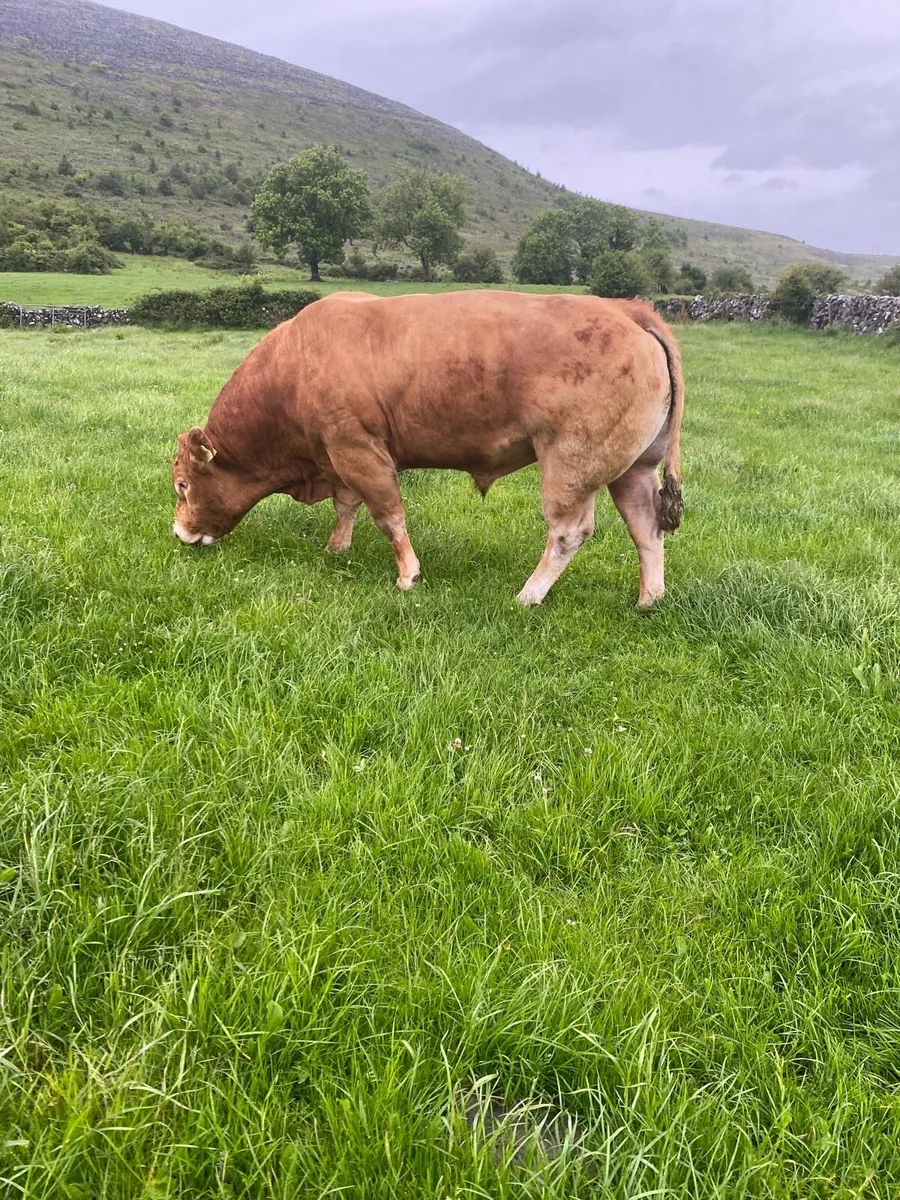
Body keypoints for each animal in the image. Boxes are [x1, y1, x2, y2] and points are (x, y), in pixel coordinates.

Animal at [172, 290, 684, 607]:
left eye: (181, 485)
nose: (179, 534)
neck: (292, 367)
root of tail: (626, 310)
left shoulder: (359, 449)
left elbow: (388, 515)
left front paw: (407, 575)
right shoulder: (339, 453)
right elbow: (346, 505)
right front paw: (337, 548)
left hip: (570, 464)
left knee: (568, 533)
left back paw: (529, 595)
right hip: (635, 468)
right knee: (646, 528)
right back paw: (649, 599)